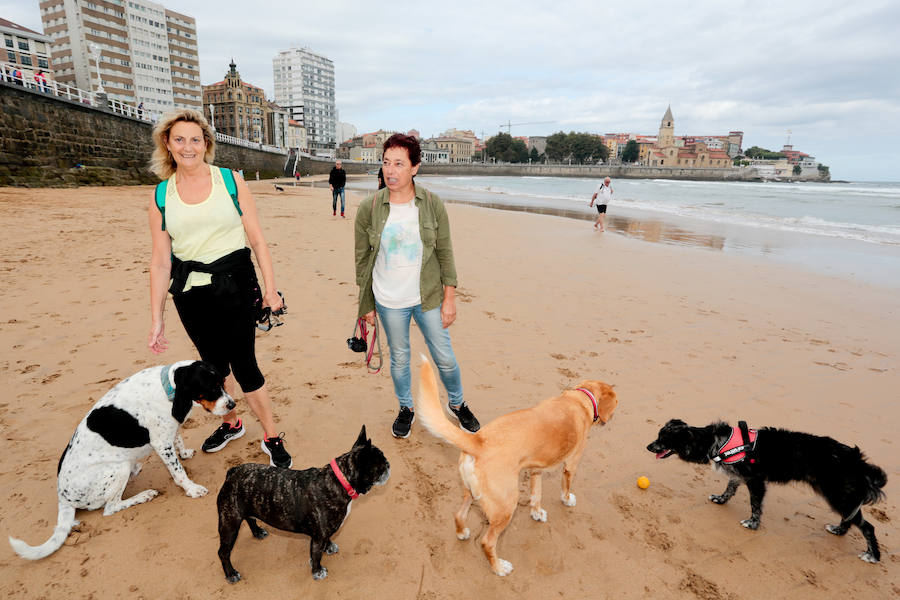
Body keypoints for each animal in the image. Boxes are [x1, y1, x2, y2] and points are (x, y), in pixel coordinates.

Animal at [9, 360, 234, 564]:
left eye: (223, 383)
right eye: (211, 388)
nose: (233, 404)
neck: (167, 386)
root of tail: (63, 498)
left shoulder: (168, 432)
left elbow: (178, 440)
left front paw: (185, 453)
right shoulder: (161, 443)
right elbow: (178, 472)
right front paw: (191, 488)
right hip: (119, 468)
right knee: (110, 508)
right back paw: (144, 495)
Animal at [218, 424, 390, 584]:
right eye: (381, 465)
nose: (389, 464)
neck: (341, 480)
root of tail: (232, 472)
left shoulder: (324, 532)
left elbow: (326, 541)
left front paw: (329, 547)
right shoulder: (318, 537)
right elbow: (316, 555)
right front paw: (318, 571)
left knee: (250, 518)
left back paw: (258, 532)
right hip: (230, 524)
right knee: (223, 552)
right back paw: (231, 574)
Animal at [416, 358, 620, 576]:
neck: (580, 399)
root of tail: (478, 441)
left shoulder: (536, 470)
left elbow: (536, 495)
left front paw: (537, 513)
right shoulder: (571, 464)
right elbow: (565, 487)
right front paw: (567, 500)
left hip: (469, 493)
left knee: (459, 515)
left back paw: (462, 533)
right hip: (506, 505)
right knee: (487, 542)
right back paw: (499, 568)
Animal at [648, 418, 884, 564]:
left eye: (663, 439)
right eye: (658, 435)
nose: (648, 446)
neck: (716, 442)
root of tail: (858, 461)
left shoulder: (756, 481)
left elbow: (755, 505)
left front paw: (752, 524)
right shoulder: (738, 475)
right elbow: (729, 489)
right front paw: (720, 499)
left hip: (836, 494)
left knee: (867, 527)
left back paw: (872, 556)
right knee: (851, 519)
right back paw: (838, 530)